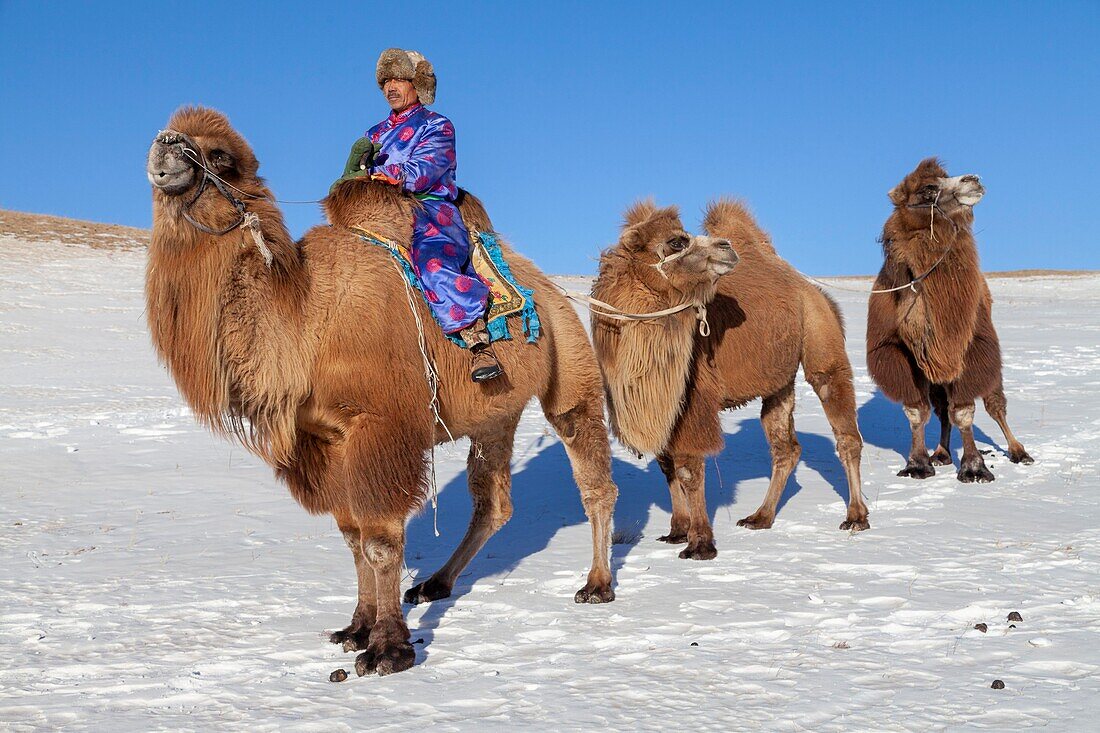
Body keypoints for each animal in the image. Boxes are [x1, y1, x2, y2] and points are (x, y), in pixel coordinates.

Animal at [144, 107, 620, 673]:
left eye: (219, 157)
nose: (165, 144)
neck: (306, 319)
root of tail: (553, 290)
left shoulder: (378, 428)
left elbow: (380, 540)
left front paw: (388, 649)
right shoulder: (324, 440)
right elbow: (352, 539)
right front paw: (355, 628)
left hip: (570, 367)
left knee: (591, 475)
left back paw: (597, 584)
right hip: (495, 414)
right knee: (494, 502)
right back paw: (435, 583)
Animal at [594, 202, 866, 556]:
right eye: (677, 241)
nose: (727, 247)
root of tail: (810, 289)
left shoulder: (692, 398)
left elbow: (688, 469)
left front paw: (699, 544)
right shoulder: (659, 402)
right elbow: (667, 466)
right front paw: (676, 531)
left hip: (820, 336)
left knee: (842, 422)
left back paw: (856, 517)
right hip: (778, 380)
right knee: (785, 446)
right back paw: (760, 517)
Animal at [866, 157, 1029, 482]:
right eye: (928, 189)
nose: (973, 179)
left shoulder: (969, 348)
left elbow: (964, 411)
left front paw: (974, 468)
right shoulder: (900, 354)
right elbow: (917, 412)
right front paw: (917, 464)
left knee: (995, 405)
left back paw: (1020, 451)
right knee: (942, 411)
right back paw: (941, 453)